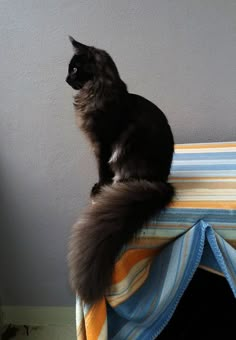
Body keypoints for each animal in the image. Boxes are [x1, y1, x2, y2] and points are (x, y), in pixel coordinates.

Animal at [65, 37, 174, 302]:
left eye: (75, 69)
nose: (66, 79)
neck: (96, 92)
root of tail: (162, 182)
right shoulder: (98, 144)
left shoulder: (103, 143)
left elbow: (102, 169)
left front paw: (99, 188)